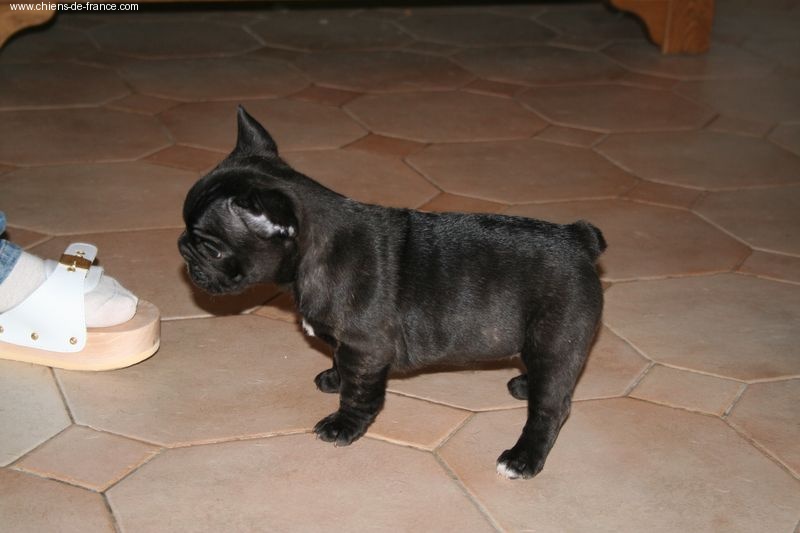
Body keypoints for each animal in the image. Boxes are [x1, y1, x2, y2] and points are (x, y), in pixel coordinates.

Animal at [179, 106, 606, 479]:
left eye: (212, 249)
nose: (182, 247)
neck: (316, 251)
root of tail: (578, 238)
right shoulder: (349, 348)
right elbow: (340, 363)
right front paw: (333, 377)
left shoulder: (365, 349)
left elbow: (359, 393)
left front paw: (343, 425)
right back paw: (524, 385)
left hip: (555, 342)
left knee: (551, 408)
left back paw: (522, 458)